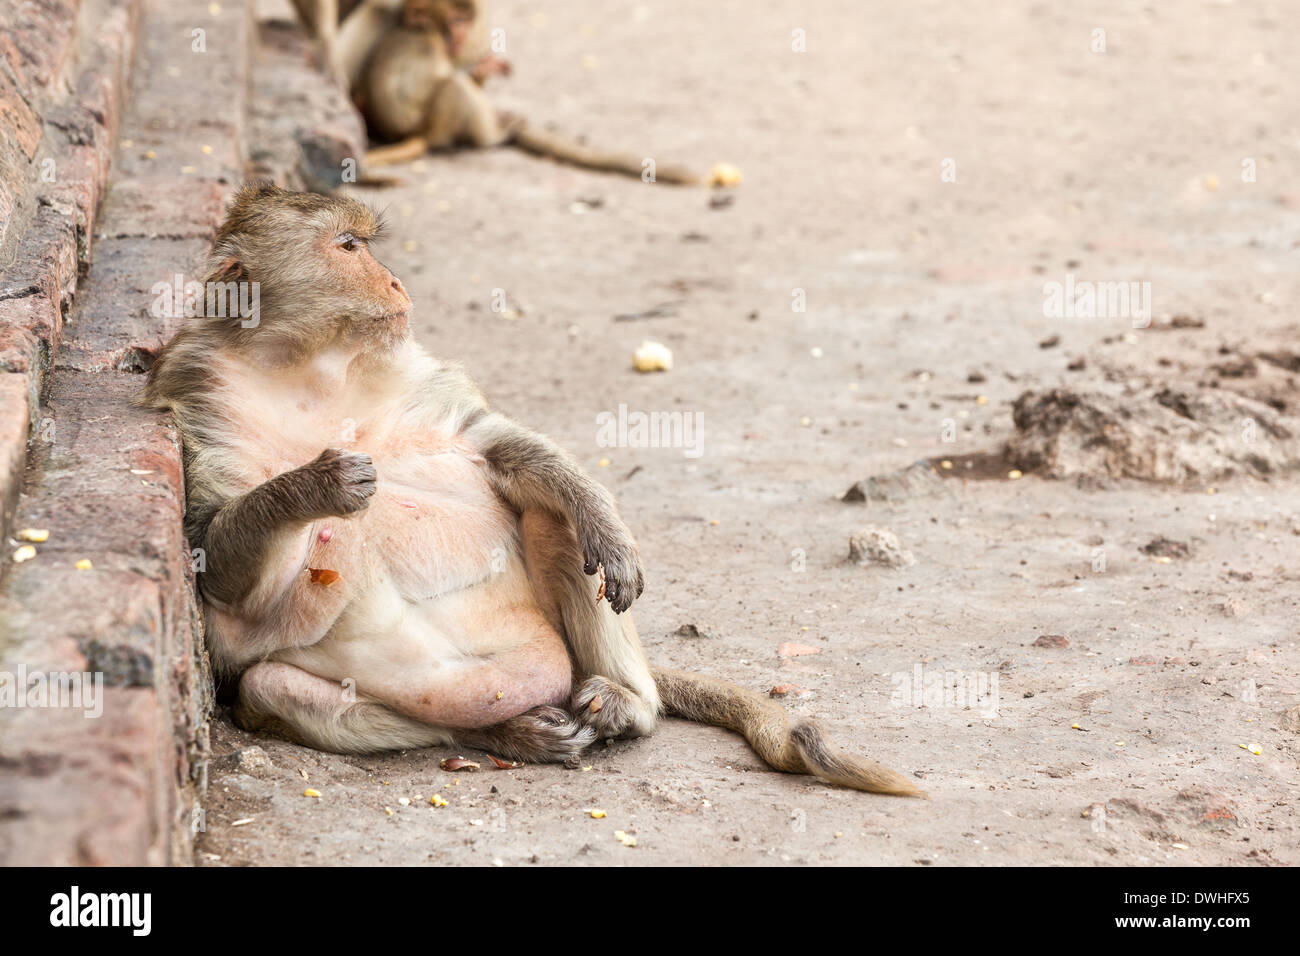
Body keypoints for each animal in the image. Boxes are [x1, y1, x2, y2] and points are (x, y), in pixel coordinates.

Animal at [140, 183, 922, 796]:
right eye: (348, 246)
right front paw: (314, 485)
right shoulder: (197, 395)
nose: (395, 283)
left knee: (553, 521)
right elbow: (216, 561)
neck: (311, 366)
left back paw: (627, 702)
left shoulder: (415, 373)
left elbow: (495, 448)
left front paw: (602, 522)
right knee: (273, 688)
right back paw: (511, 733)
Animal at [358, 0, 703, 185]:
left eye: (464, 20)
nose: (462, 34)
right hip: (433, 126)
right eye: (454, 21)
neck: (427, 31)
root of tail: (418, 135)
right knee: (452, 88)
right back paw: (492, 135)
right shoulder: (431, 46)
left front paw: (486, 69)